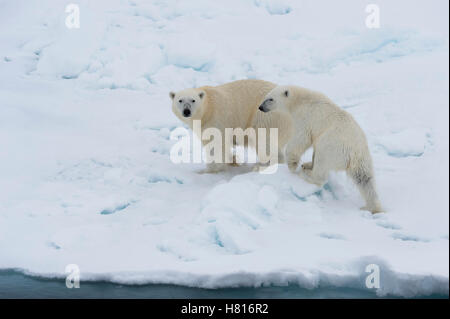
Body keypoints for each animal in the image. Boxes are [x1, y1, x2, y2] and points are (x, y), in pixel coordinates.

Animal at [258, 85, 382, 215]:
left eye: (270, 99)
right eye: (266, 96)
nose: (260, 107)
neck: (300, 100)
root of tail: (355, 153)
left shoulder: (305, 117)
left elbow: (300, 139)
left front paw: (292, 165)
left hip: (333, 146)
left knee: (321, 163)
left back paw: (307, 174)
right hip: (364, 158)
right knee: (365, 179)